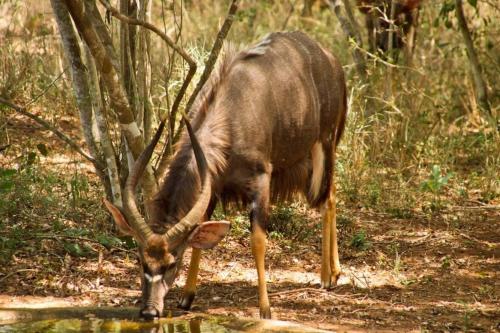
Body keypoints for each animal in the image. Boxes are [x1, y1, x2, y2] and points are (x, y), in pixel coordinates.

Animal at [104, 31, 348, 320]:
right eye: (140, 260)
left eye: (172, 262)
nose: (150, 311)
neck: (231, 119)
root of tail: (332, 60)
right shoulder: (212, 188)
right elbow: (200, 240)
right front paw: (187, 297)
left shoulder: (261, 181)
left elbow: (257, 240)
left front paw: (265, 308)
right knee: (331, 195)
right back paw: (334, 271)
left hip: (325, 145)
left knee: (328, 198)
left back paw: (327, 276)